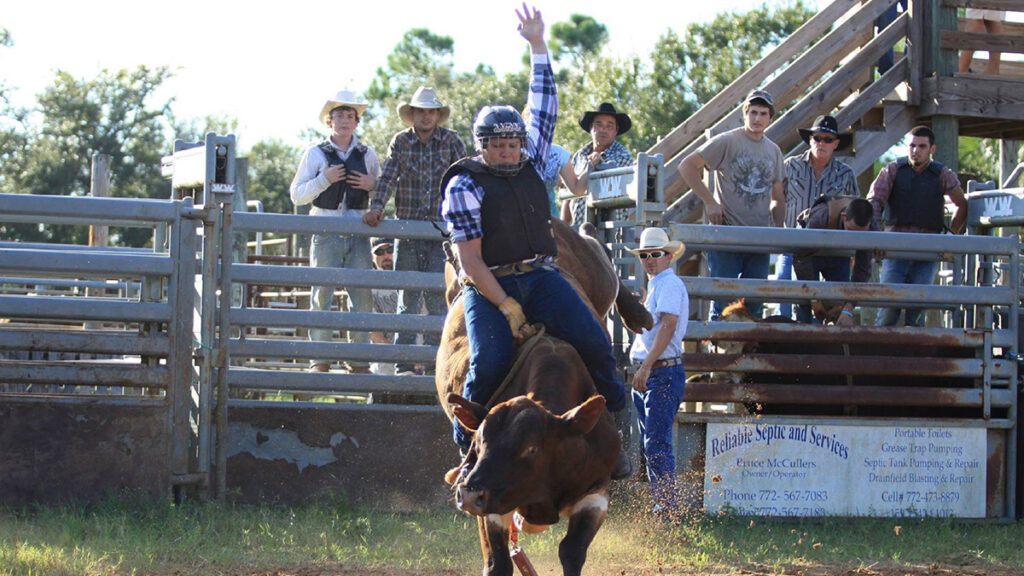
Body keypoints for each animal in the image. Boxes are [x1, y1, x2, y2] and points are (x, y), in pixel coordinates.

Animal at [436, 217, 651, 573]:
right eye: (478, 443)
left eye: (531, 448)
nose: (468, 495)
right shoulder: (491, 506)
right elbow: (498, 562)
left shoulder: (596, 494)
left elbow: (572, 551)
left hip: (596, 273)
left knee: (601, 252)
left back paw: (639, 314)